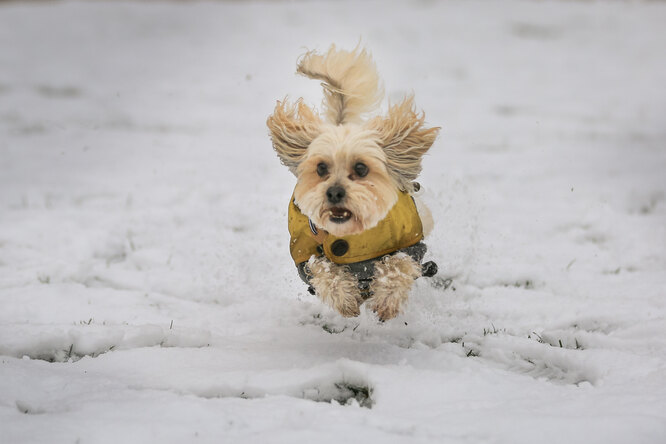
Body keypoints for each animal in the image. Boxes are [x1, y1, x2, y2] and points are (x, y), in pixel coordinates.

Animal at [268, 45, 438, 320]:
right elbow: (323, 271)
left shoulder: (410, 244)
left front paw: (387, 300)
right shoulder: (307, 256)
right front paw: (345, 299)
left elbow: (397, 264)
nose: (334, 193)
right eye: (321, 168)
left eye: (361, 168)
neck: (352, 236)